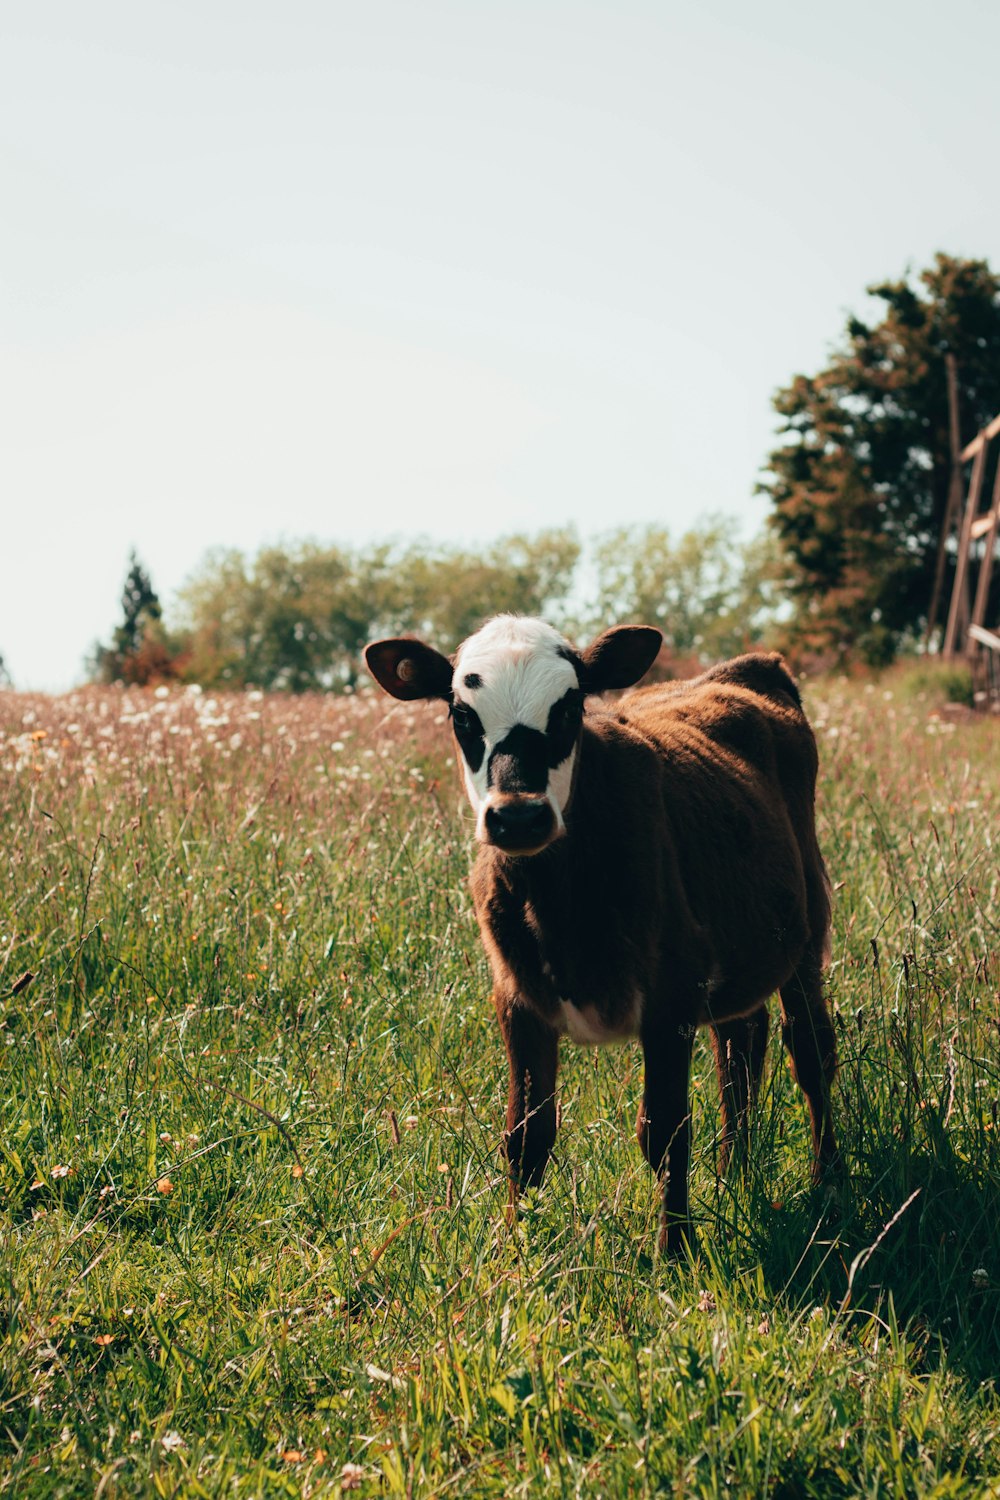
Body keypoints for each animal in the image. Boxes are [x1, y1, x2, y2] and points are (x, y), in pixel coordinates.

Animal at [364, 612, 839, 1254]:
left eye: (568, 709)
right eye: (462, 715)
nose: (518, 816)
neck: (559, 907)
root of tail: (744, 668)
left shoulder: (671, 997)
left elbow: (664, 1131)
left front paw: (674, 1252)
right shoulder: (517, 1000)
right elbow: (526, 1134)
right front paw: (515, 1247)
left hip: (808, 926)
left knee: (810, 1050)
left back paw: (827, 1181)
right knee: (740, 1046)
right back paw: (732, 1175)